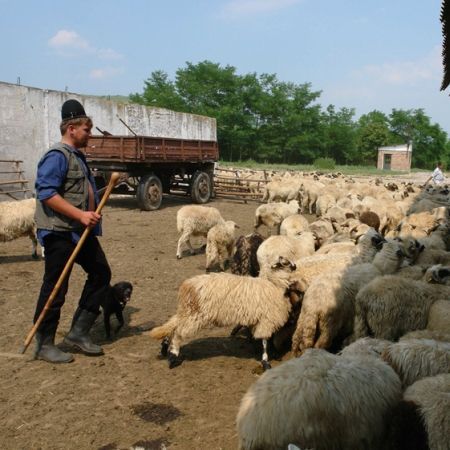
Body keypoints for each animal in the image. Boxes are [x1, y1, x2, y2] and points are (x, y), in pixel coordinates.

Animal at [149, 256, 304, 370]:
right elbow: (265, 340)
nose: (295, 266)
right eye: (284, 262)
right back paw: (173, 356)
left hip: (188, 311)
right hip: (195, 315)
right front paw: (266, 361)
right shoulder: (267, 319)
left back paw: (165, 347)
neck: (273, 284)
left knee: (173, 325)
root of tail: (186, 286)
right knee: (178, 333)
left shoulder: (260, 320)